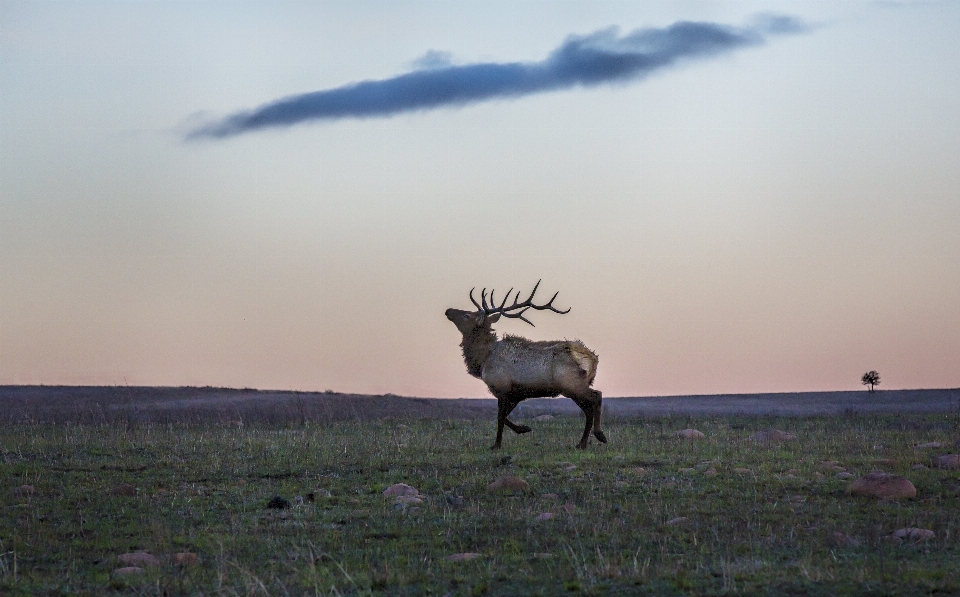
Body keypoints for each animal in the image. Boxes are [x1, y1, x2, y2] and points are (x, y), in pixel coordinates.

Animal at [444, 282, 608, 450]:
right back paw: (585, 441)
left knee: (596, 396)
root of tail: (593, 358)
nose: (448, 310)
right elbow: (505, 417)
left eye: (467, 315)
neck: (483, 359)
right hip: (573, 386)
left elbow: (500, 417)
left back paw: (596, 436)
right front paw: (523, 428)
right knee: (590, 404)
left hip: (571, 383)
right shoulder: (516, 393)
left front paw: (496, 444)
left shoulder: (502, 387)